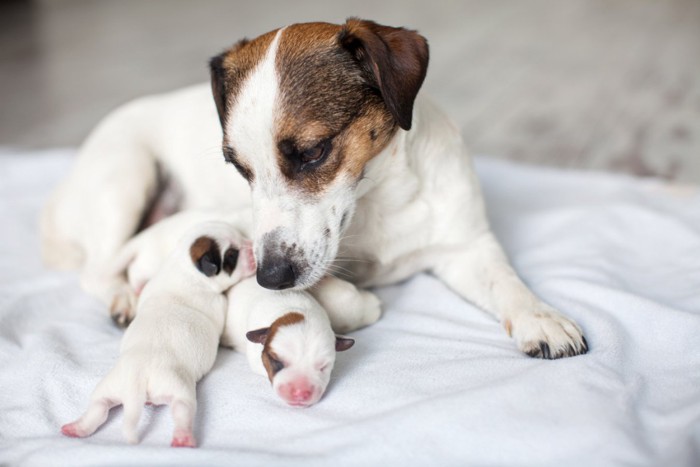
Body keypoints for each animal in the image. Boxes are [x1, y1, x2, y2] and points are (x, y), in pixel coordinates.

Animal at [41, 19, 588, 358]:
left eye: (312, 152)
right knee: (97, 269)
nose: (270, 278)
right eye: (237, 166)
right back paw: (122, 297)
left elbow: (506, 282)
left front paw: (541, 316)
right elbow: (335, 288)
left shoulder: (466, 246)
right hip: (124, 178)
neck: (375, 201)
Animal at [60, 221, 254, 448]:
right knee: (182, 410)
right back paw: (183, 437)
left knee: (98, 409)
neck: (184, 269)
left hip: (106, 388)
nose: (252, 247)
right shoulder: (218, 302)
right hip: (178, 389)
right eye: (233, 255)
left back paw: (76, 428)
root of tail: (136, 381)